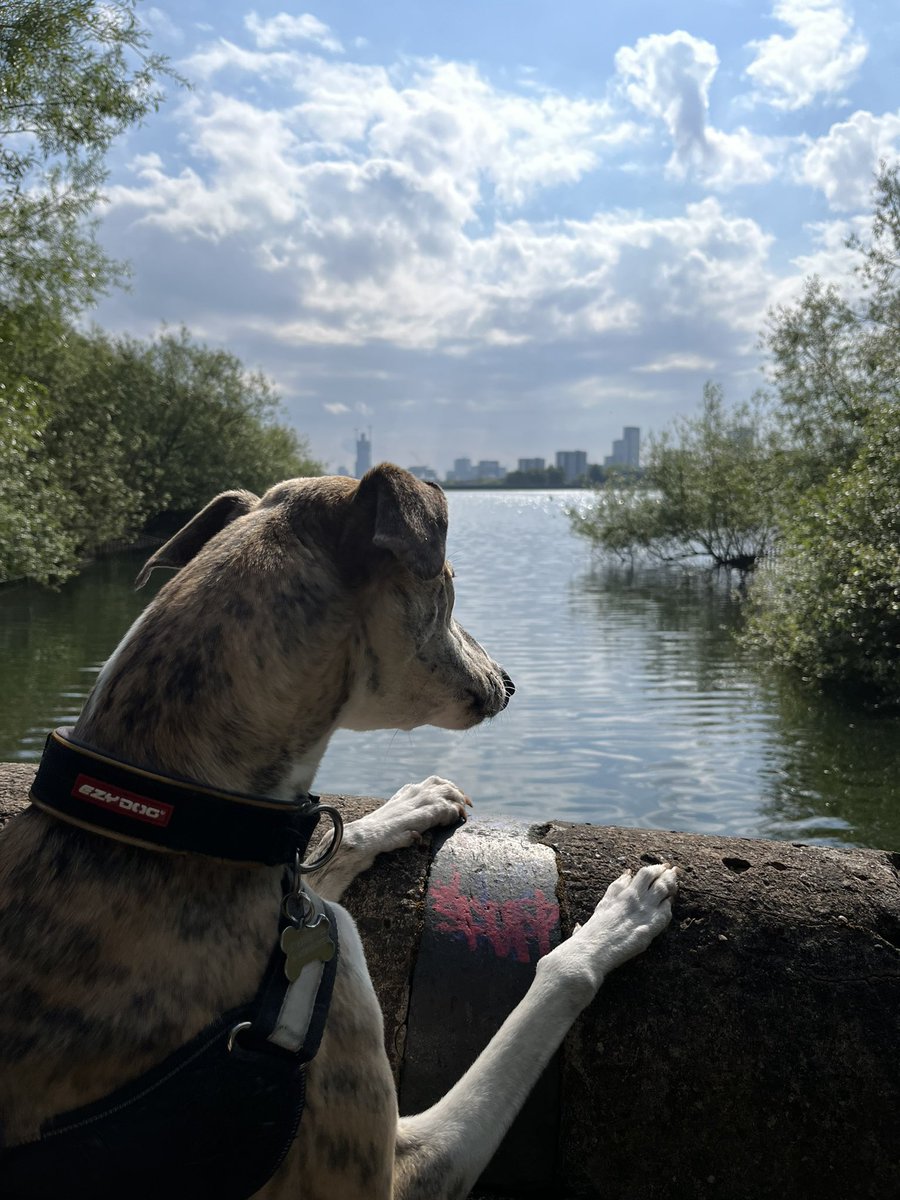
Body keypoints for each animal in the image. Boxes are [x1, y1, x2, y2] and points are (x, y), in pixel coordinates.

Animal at [0, 463, 676, 1195]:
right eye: (449, 584)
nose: (510, 682)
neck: (173, 819)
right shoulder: (385, 1169)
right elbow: (543, 994)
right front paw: (618, 919)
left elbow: (335, 842)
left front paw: (412, 802)